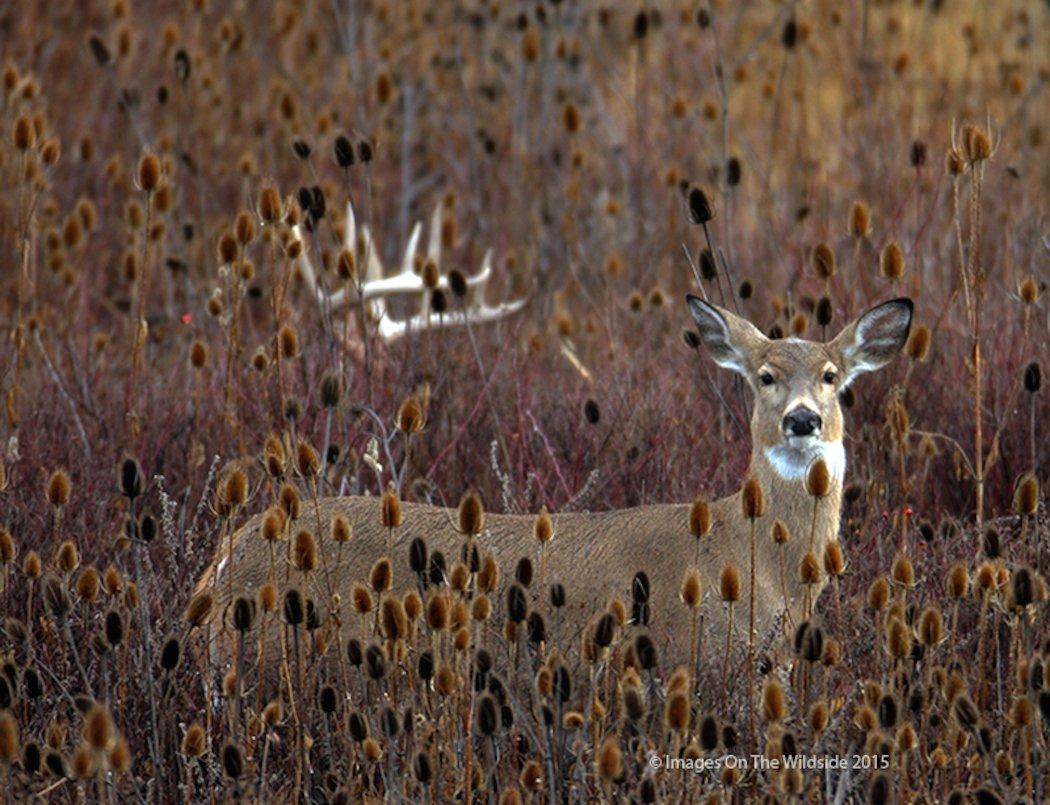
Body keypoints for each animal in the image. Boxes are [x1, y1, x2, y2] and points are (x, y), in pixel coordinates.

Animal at [197, 293, 911, 675]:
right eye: (764, 376)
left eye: (831, 375)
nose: (802, 418)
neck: (757, 556)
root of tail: (221, 561)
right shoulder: (696, 656)